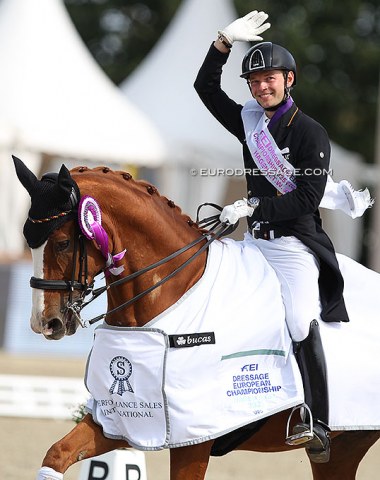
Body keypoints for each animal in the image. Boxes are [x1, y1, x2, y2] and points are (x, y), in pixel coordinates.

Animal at [14, 162, 380, 480]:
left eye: (63, 243)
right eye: (27, 239)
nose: (45, 323)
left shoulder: (195, 438)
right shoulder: (122, 418)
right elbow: (58, 453)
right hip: (341, 450)